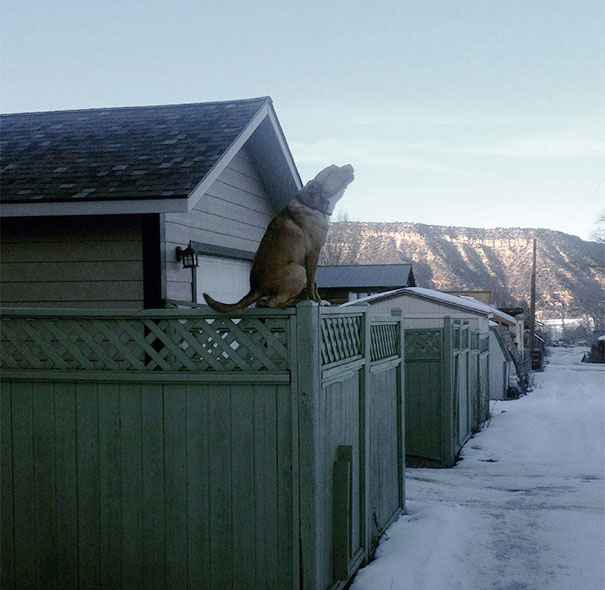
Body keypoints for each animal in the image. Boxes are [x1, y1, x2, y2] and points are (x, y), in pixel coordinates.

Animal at [203, 165, 354, 314]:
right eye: (332, 171)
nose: (350, 166)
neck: (312, 205)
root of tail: (256, 288)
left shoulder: (313, 256)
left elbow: (315, 282)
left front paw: (321, 301)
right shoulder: (313, 253)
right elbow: (312, 283)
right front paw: (315, 301)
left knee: (265, 302)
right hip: (298, 270)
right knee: (275, 302)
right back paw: (294, 302)